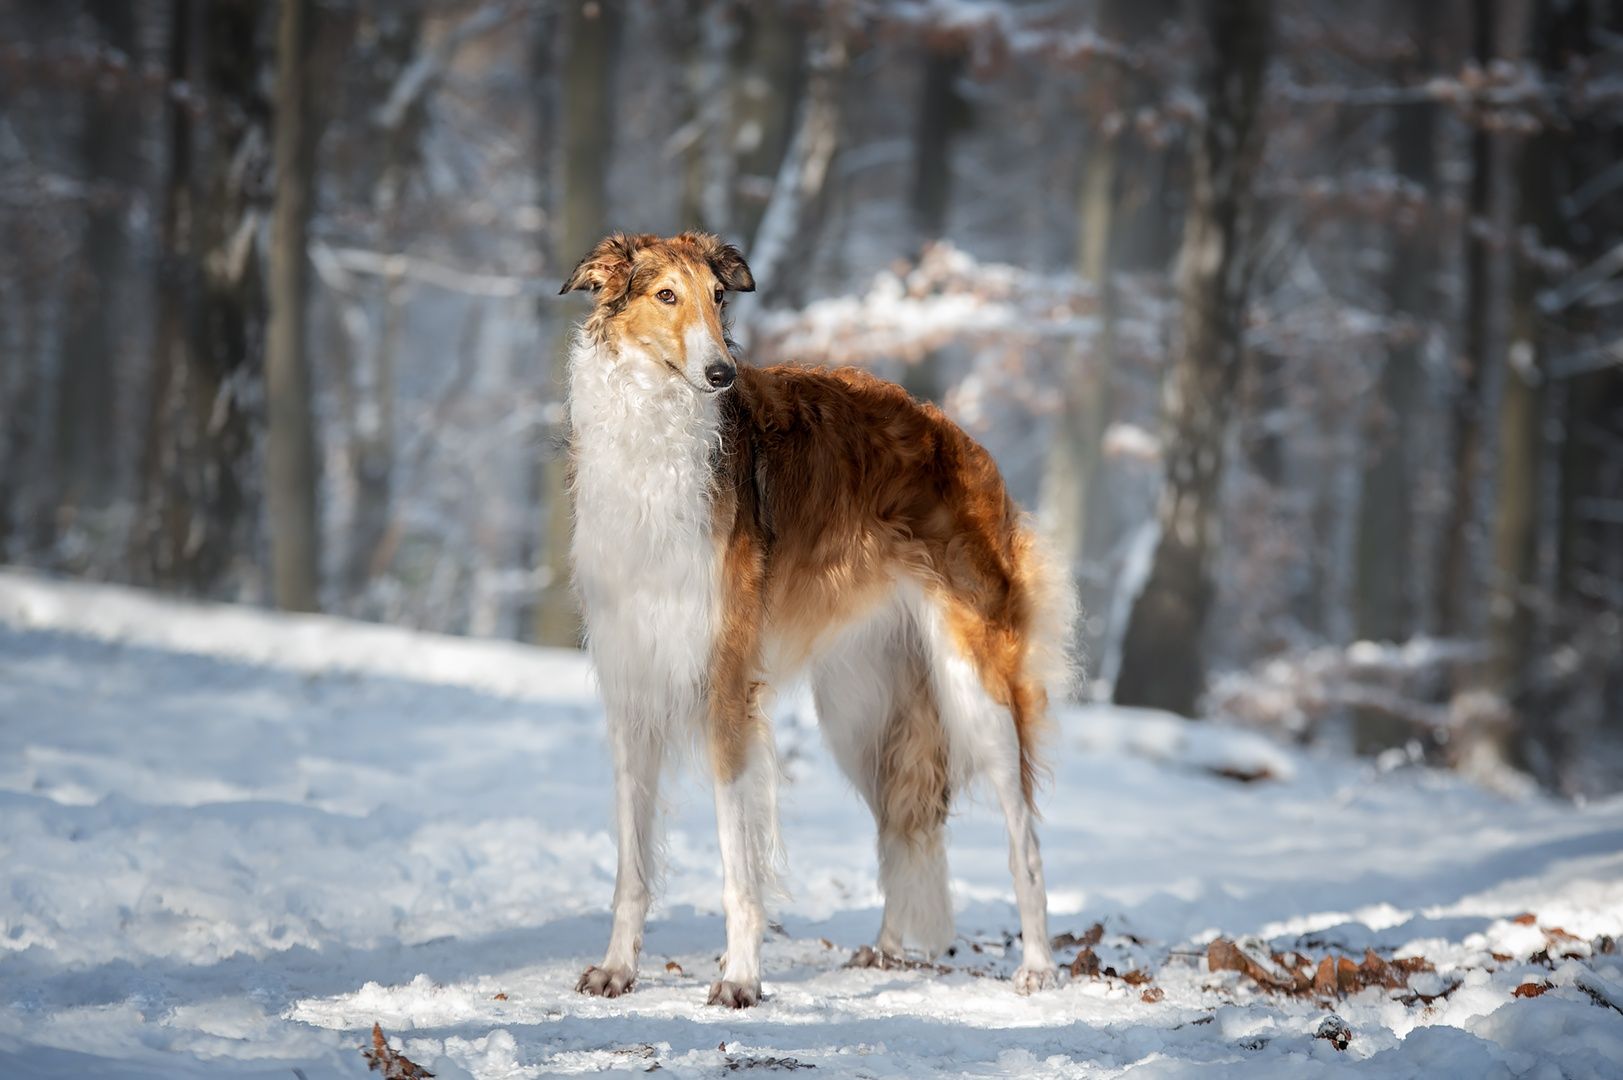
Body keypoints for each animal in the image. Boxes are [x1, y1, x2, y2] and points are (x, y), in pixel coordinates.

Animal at [564, 232, 1071, 1006]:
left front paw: (740, 979)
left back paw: (1037, 966)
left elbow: (738, 865)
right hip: (861, 708)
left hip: (973, 687)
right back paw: (886, 951)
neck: (657, 440)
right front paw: (617, 969)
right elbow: (633, 865)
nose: (721, 374)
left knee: (1025, 841)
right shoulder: (632, 687)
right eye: (665, 295)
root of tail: (962, 442)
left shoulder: (725, 686)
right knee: (904, 822)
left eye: (718, 296)